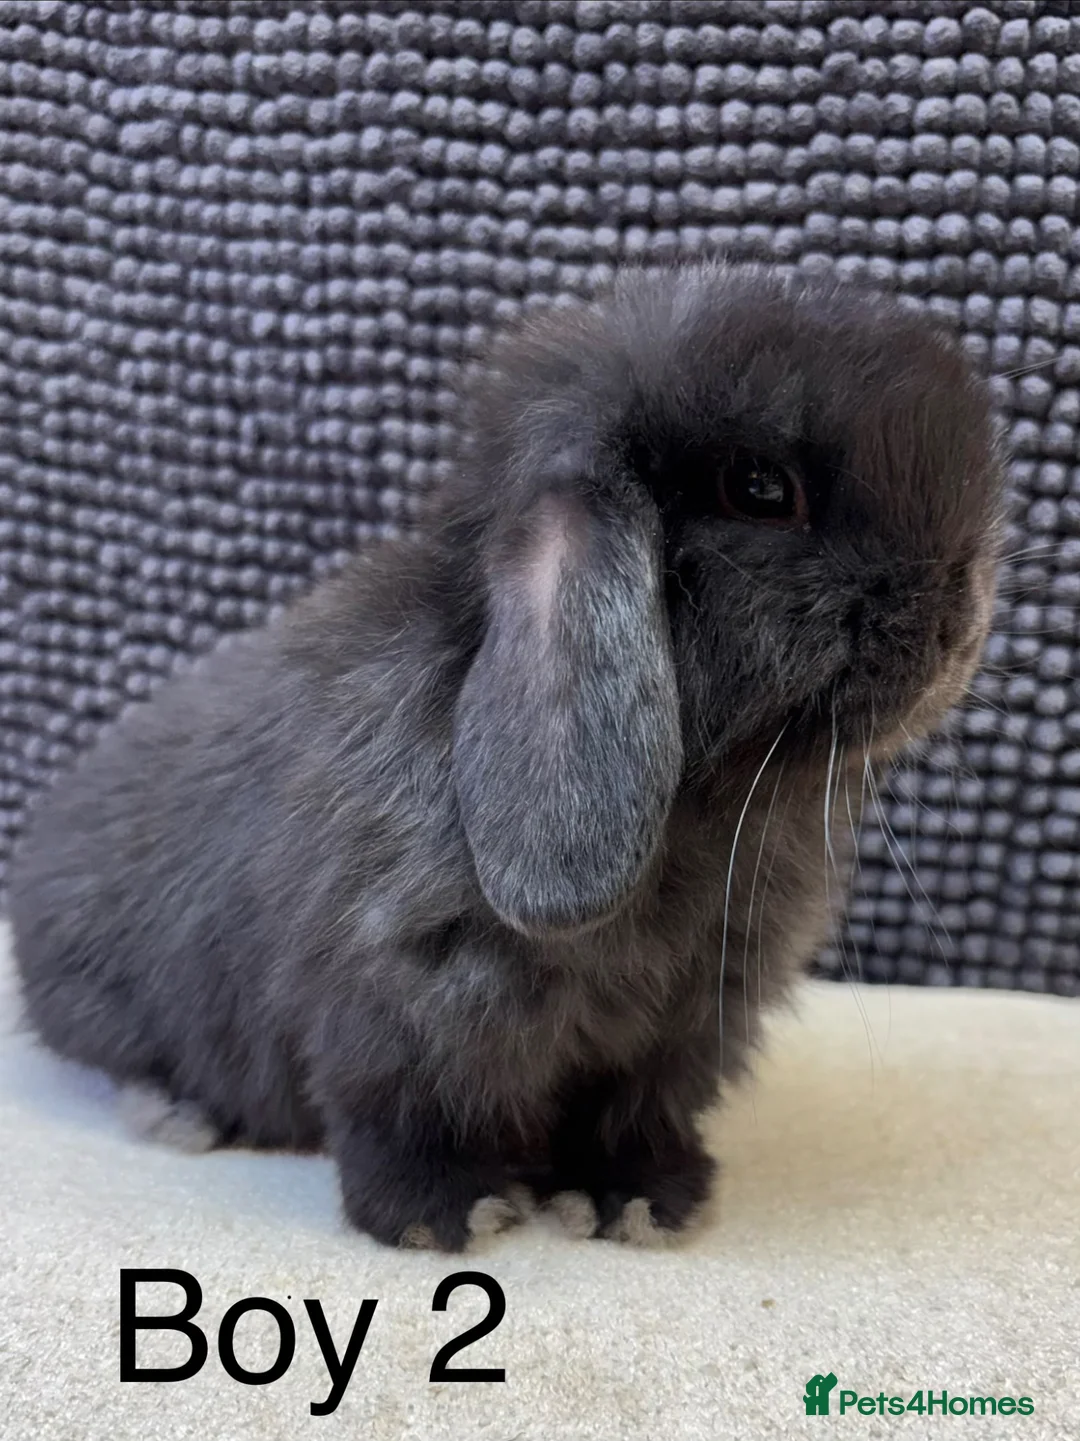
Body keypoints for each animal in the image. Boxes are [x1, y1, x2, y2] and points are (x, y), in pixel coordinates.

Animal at [8, 262, 1004, 1252]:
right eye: (759, 488)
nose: (963, 620)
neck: (702, 813)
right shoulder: (395, 999)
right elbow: (397, 1112)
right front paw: (443, 1213)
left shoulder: (682, 1027)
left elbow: (635, 1115)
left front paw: (639, 1200)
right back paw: (181, 1112)